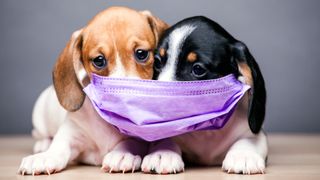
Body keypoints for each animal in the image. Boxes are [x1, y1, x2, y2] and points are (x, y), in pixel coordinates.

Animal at [18, 7, 168, 176]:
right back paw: (43, 145)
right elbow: (59, 146)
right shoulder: (71, 133)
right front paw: (46, 157)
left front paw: (122, 154)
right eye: (99, 60)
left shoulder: (139, 138)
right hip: (40, 119)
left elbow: (131, 141)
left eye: (141, 53)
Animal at [142, 16, 268, 174]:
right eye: (157, 63)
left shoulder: (255, 133)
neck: (206, 131)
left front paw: (243, 155)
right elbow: (165, 137)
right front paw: (162, 153)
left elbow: (250, 140)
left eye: (198, 69)